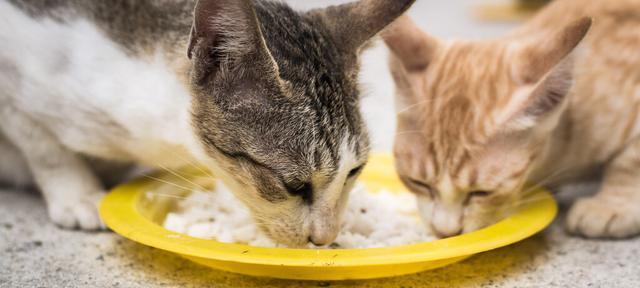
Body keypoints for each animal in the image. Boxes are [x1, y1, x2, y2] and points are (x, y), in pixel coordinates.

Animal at [0, 0, 416, 248]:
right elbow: (43, 144)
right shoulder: (13, 73)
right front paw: (79, 194)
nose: (325, 239)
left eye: (354, 171)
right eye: (293, 185)